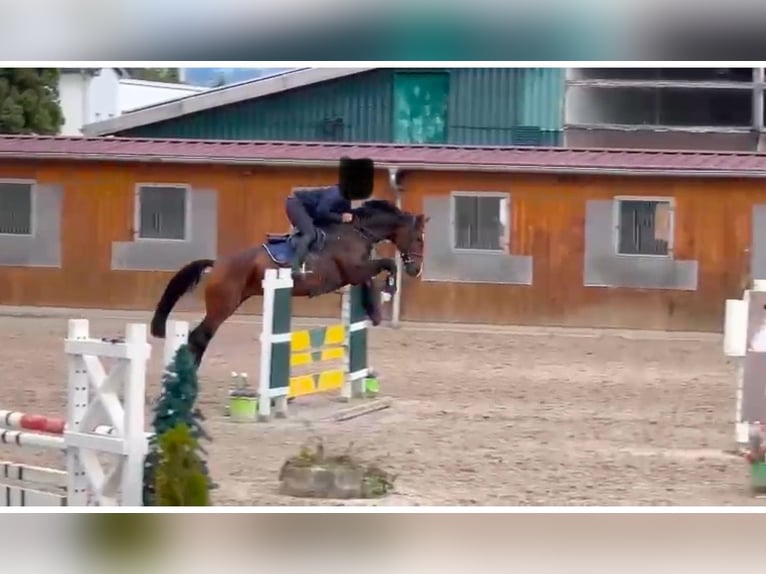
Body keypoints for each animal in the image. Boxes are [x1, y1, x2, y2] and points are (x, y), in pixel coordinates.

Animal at [147, 200, 428, 366]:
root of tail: (217, 264)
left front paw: (375, 309)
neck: (355, 232)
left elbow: (373, 278)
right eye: (418, 239)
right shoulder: (353, 270)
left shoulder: (357, 273)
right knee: (199, 337)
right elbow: (387, 265)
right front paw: (389, 290)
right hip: (222, 305)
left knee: (199, 338)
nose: (415, 270)